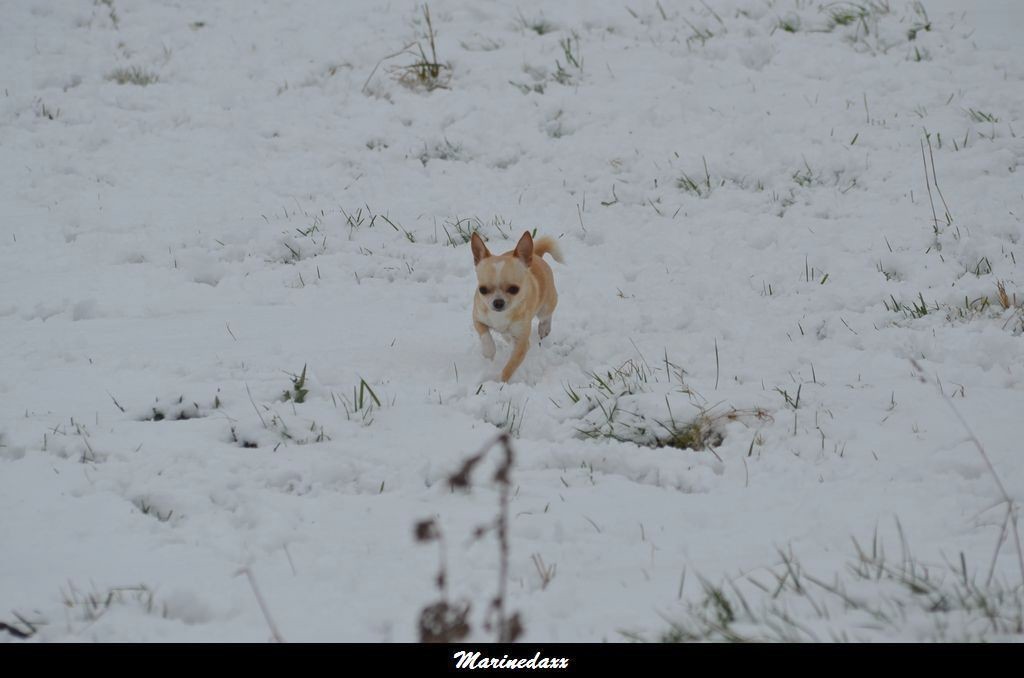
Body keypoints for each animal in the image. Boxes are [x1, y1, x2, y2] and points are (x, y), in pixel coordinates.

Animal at [468, 231, 565, 383]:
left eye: (514, 289)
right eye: (482, 290)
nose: (498, 302)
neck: (501, 315)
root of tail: (536, 254)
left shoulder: (522, 344)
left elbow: (511, 366)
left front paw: (501, 382)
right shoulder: (477, 318)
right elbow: (485, 335)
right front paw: (489, 352)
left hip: (546, 305)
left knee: (546, 316)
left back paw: (544, 328)